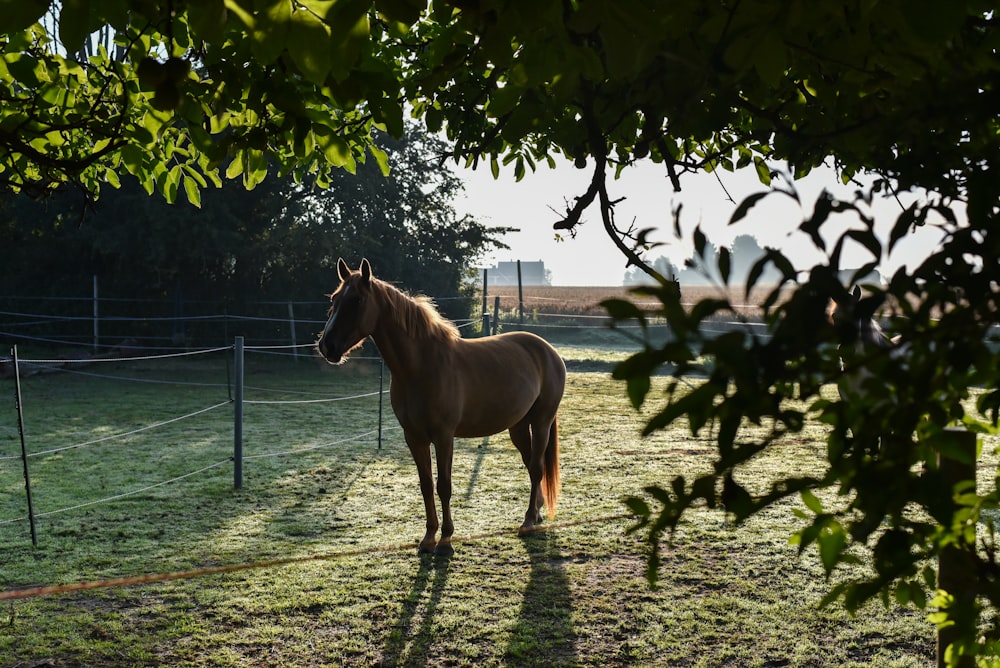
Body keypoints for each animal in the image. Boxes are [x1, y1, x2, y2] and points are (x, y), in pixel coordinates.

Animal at [316, 258, 568, 556]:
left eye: (356, 300)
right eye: (334, 299)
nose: (327, 346)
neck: (421, 366)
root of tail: (548, 350)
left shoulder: (444, 436)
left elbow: (444, 486)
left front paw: (446, 538)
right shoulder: (414, 438)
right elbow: (426, 485)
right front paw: (428, 538)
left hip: (541, 422)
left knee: (537, 467)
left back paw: (528, 521)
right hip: (518, 426)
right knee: (530, 465)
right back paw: (536, 512)